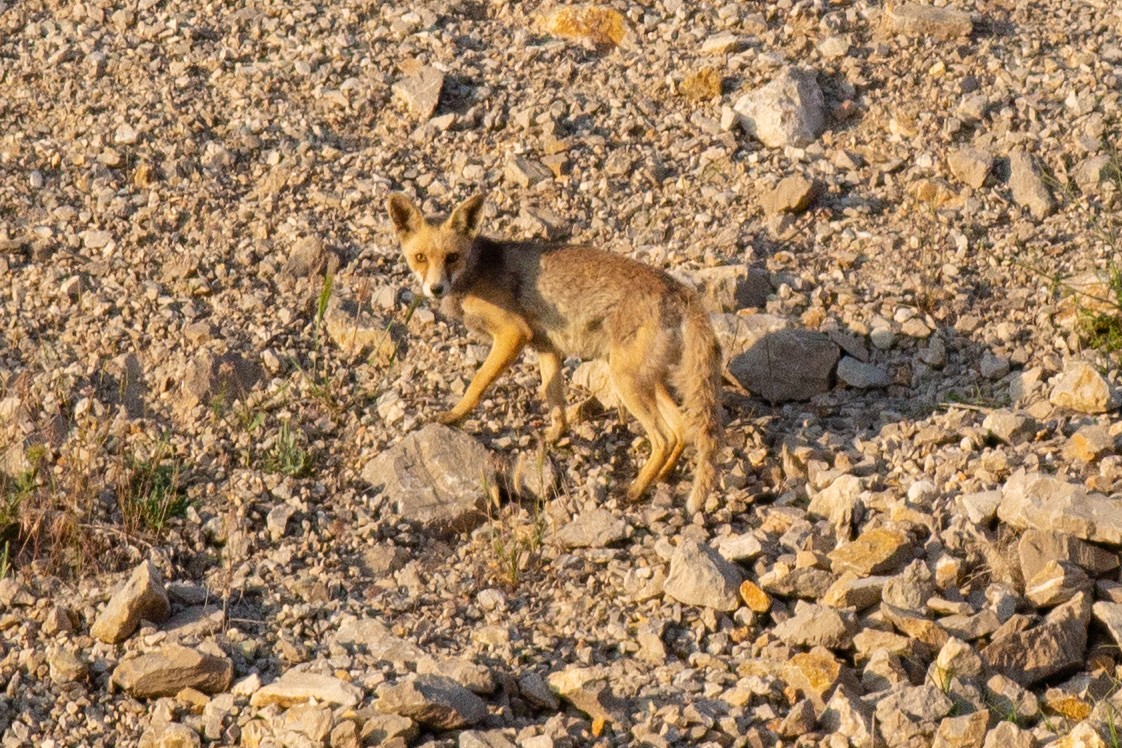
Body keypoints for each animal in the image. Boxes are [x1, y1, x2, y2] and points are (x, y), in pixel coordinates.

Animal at [385, 192, 724, 514]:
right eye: (420, 258)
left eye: (452, 257)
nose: (435, 289)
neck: (476, 272)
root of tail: (682, 292)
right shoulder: (546, 348)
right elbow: (555, 402)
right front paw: (553, 438)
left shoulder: (512, 334)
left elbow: (478, 383)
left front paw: (455, 416)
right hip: (646, 380)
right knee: (681, 430)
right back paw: (662, 477)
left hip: (626, 382)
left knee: (664, 438)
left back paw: (635, 490)